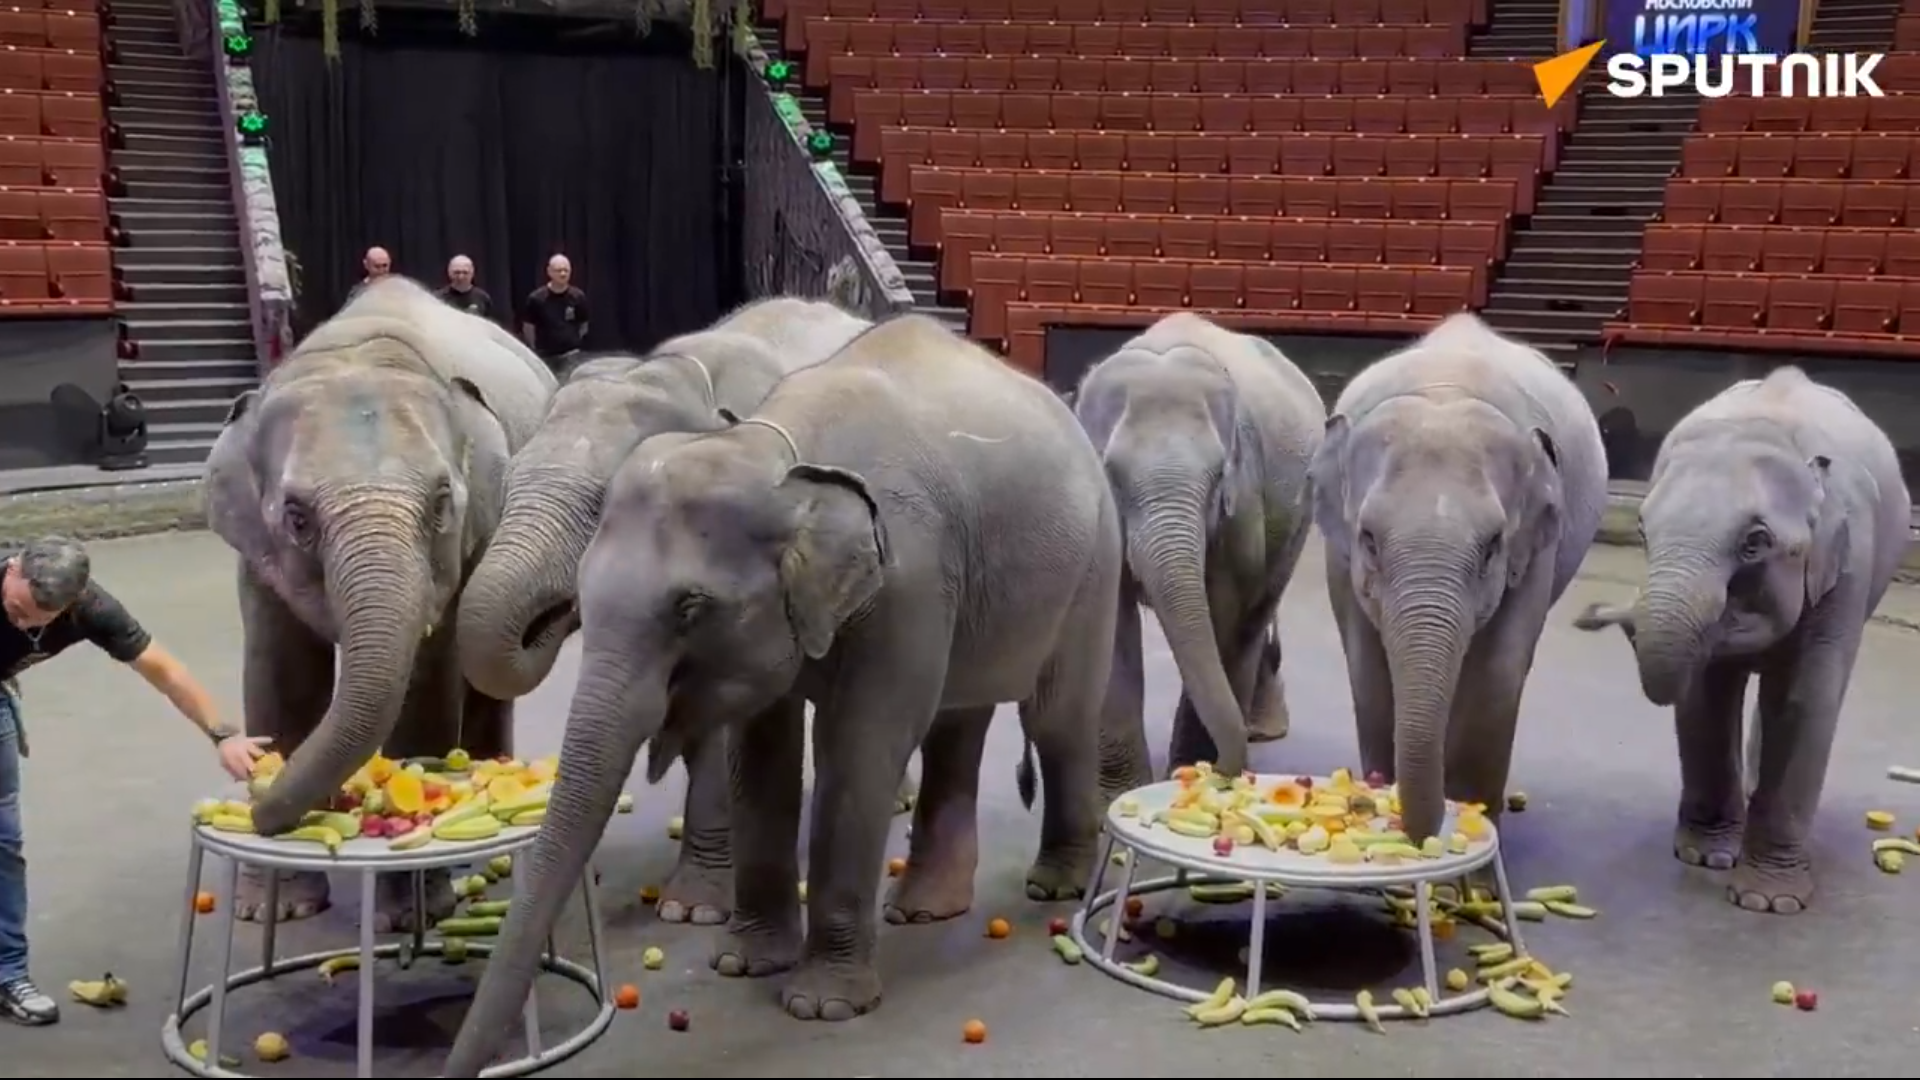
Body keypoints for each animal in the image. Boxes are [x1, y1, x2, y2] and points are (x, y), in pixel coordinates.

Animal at [203, 275, 557, 927]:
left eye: (442, 502)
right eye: (296, 517)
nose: (264, 813)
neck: (357, 349)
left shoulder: (465, 541)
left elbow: (430, 679)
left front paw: (411, 914)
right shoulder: (256, 557)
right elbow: (281, 670)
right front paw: (275, 910)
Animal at [1073, 313, 1326, 780]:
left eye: (1219, 474)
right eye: (1111, 473)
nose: (1222, 770)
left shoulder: (1243, 502)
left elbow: (1224, 607)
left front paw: (1193, 769)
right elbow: (1114, 615)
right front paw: (1116, 794)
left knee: (1257, 610)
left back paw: (1258, 730)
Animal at [1310, 313, 1607, 845]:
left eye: (1491, 545)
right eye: (1368, 538)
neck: (1443, 391)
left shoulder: (1537, 544)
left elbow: (1497, 675)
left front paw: (1470, 825)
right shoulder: (1339, 557)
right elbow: (1368, 671)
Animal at [1571, 366, 1910, 915]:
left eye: (1755, 543)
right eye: (1641, 530)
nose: (1590, 614)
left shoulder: (1847, 572)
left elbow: (1803, 700)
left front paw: (1767, 903)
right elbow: (1706, 696)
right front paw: (1704, 858)